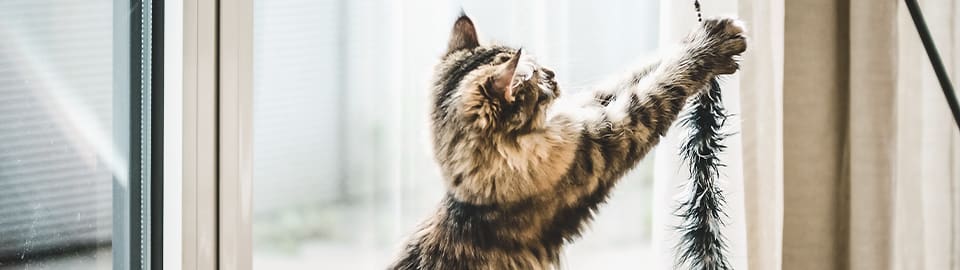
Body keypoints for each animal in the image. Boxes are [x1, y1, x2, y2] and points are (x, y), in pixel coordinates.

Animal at [388, 13, 744, 270]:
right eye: (535, 77)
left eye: (540, 68)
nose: (553, 73)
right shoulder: (613, 133)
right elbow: (662, 83)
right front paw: (710, 45)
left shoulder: (587, 112)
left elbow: (637, 72)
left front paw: (701, 35)